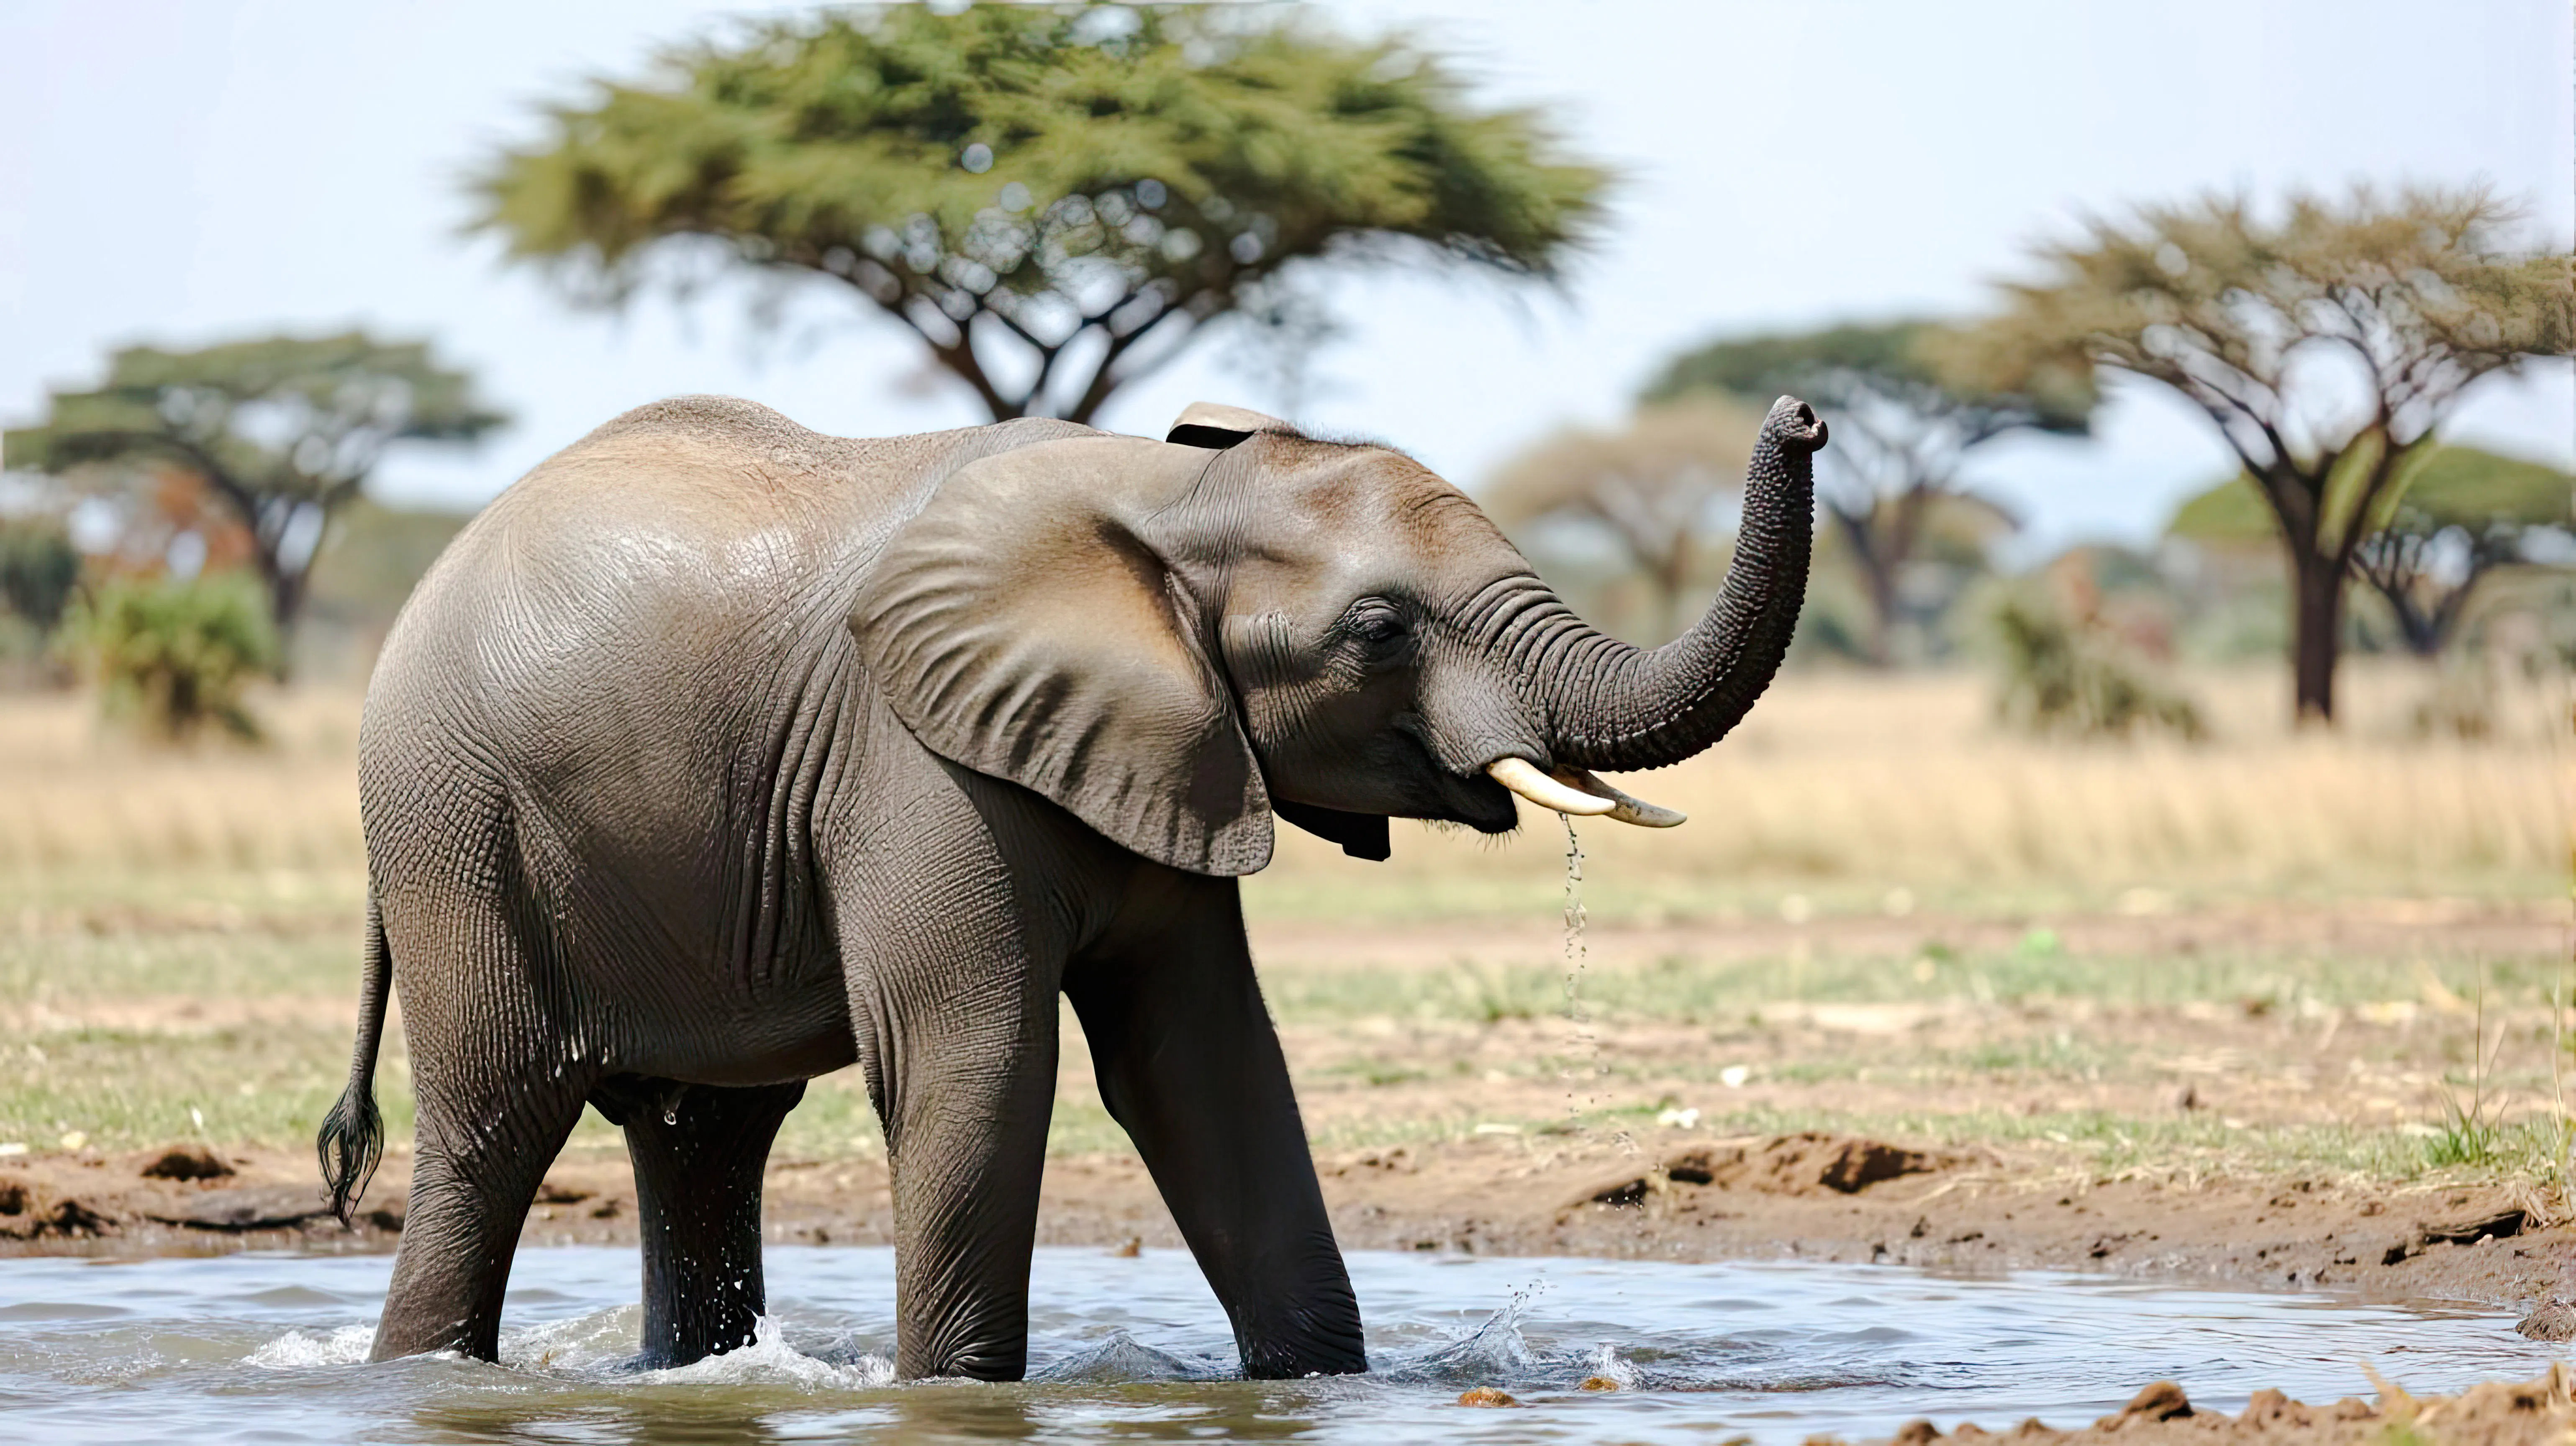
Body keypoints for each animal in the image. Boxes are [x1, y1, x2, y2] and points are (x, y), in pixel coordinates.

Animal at [315, 391, 1824, 1380]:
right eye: (1379, 630)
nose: (1803, 416)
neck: (1168, 496)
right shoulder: (912, 754)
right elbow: (976, 1062)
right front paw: (956, 1396)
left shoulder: (1169, 747)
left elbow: (1205, 1067)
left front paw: (1319, 1386)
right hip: (458, 826)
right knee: (499, 1122)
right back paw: (420, 1379)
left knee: (704, 1134)